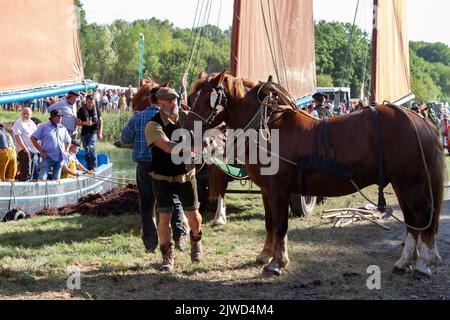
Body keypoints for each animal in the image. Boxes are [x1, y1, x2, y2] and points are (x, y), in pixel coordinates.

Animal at [185, 70, 444, 278]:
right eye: (189, 97)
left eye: (207, 99)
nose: (187, 132)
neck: (269, 127)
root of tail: (418, 120)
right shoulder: (267, 191)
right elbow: (269, 223)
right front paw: (265, 255)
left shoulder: (279, 190)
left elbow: (280, 225)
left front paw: (277, 263)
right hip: (402, 184)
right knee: (412, 220)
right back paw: (404, 262)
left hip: (410, 182)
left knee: (423, 215)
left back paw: (423, 264)